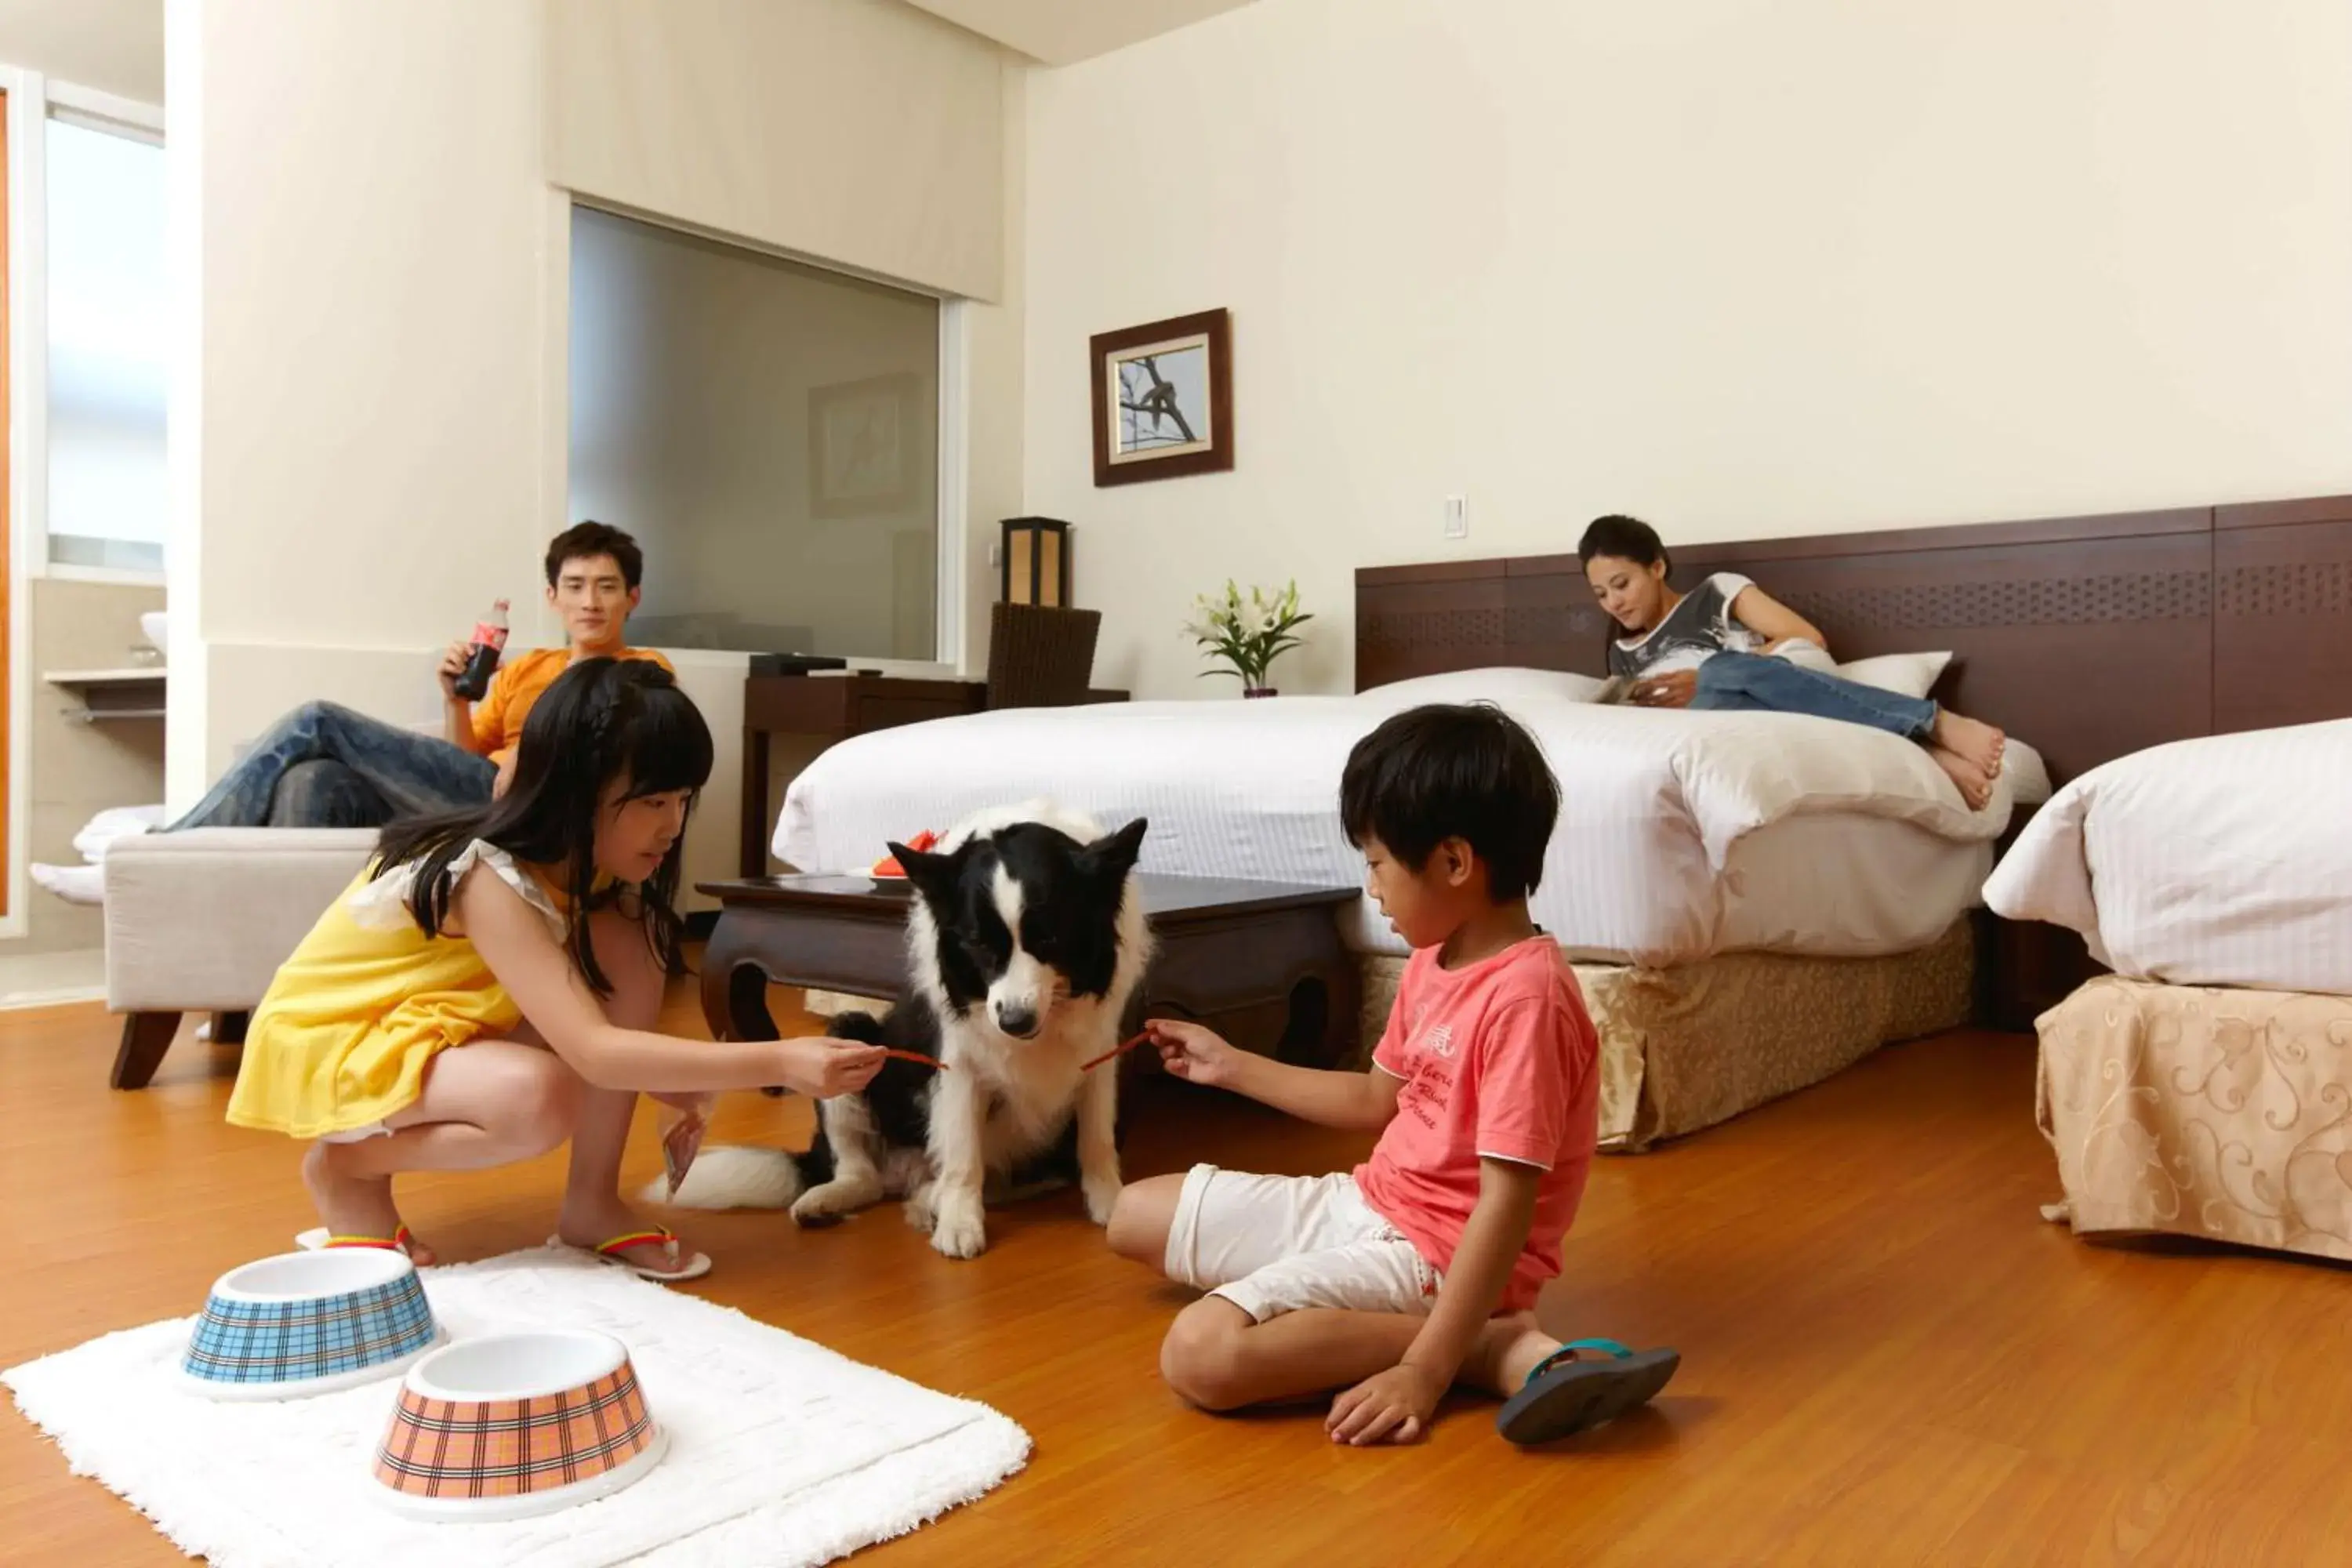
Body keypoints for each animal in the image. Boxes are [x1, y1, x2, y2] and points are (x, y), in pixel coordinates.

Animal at [663, 804, 1148, 1260]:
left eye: (1050, 939)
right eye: (979, 944)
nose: (1015, 1022)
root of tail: (905, 1174)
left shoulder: (1099, 1055)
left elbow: (1098, 1140)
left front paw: (1114, 1204)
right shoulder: (960, 1064)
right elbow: (963, 1154)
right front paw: (959, 1224)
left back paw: (927, 1199)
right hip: (849, 1037)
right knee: (862, 1174)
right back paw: (832, 1200)